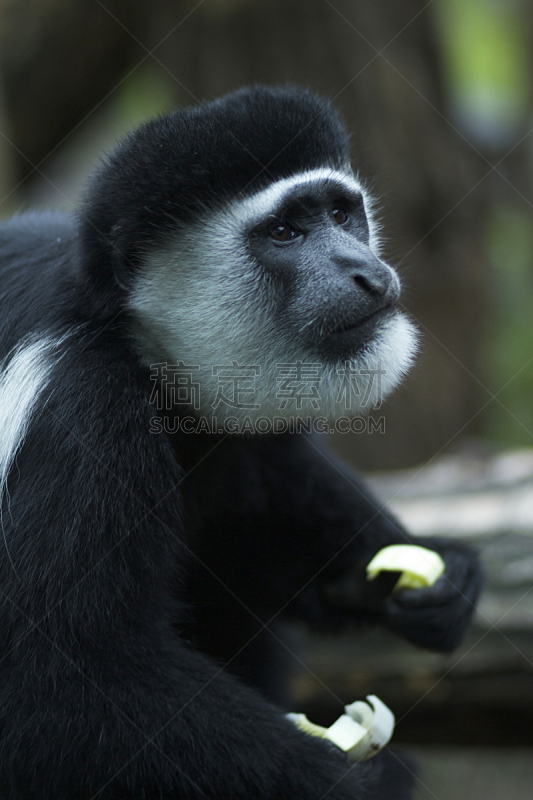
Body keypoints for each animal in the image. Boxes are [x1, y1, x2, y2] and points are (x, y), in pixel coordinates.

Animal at [0, 84, 480, 796]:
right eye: (284, 232)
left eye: (341, 213)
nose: (367, 273)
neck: (136, 341)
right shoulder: (72, 408)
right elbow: (54, 679)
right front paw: (351, 777)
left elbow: (258, 506)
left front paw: (437, 578)